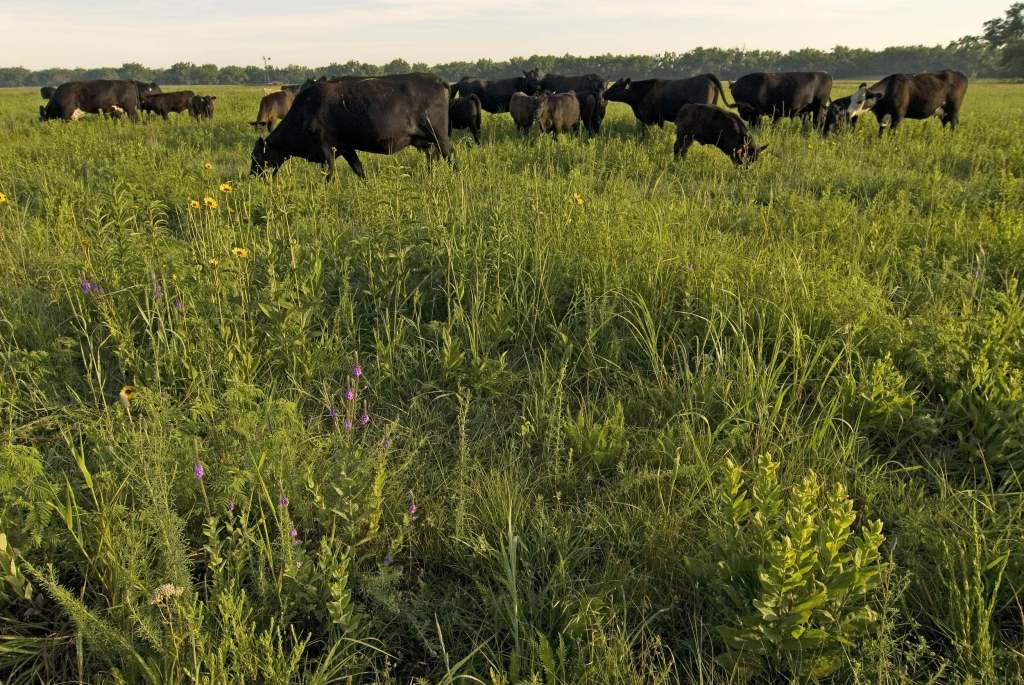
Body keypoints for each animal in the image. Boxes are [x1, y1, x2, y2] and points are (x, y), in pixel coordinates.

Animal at [249, 72, 450, 180]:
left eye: (256, 156)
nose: (251, 177)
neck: (305, 111)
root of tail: (437, 79)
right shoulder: (346, 147)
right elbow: (359, 170)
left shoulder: (326, 148)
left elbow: (329, 174)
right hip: (428, 142)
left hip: (440, 137)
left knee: (450, 157)